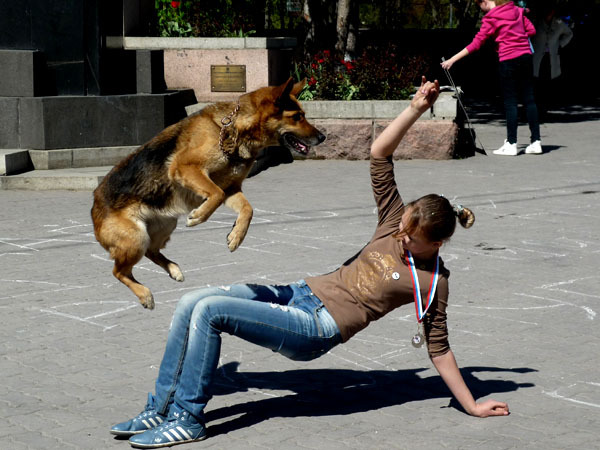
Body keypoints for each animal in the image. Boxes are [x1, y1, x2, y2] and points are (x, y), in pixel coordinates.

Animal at [91, 78, 325, 309]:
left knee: (150, 252)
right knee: (118, 271)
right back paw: (144, 294)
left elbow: (247, 209)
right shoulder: (186, 168)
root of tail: (94, 205)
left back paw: (173, 269)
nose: (323, 137)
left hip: (164, 226)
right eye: (297, 117)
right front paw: (199, 216)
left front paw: (236, 236)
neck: (234, 130)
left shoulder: (232, 188)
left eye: (303, 115)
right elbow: (216, 194)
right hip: (136, 238)